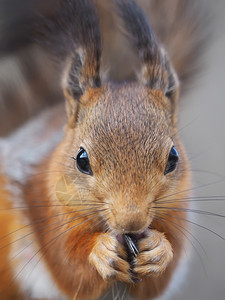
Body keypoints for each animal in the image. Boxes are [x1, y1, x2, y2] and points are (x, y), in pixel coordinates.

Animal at [0, 0, 207, 300]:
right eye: (81, 160)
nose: (131, 221)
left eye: (173, 158)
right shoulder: (50, 209)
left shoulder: (178, 208)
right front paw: (101, 252)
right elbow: (69, 266)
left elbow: (161, 275)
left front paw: (158, 251)